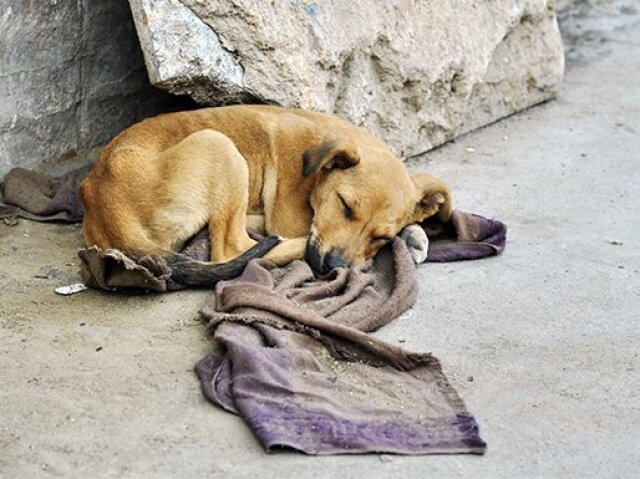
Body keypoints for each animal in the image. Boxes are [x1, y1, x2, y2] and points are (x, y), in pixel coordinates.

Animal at [80, 105, 450, 284]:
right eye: (345, 206)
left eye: (380, 236)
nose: (332, 267)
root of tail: (102, 200)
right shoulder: (292, 218)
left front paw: (414, 234)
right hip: (219, 145)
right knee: (232, 249)